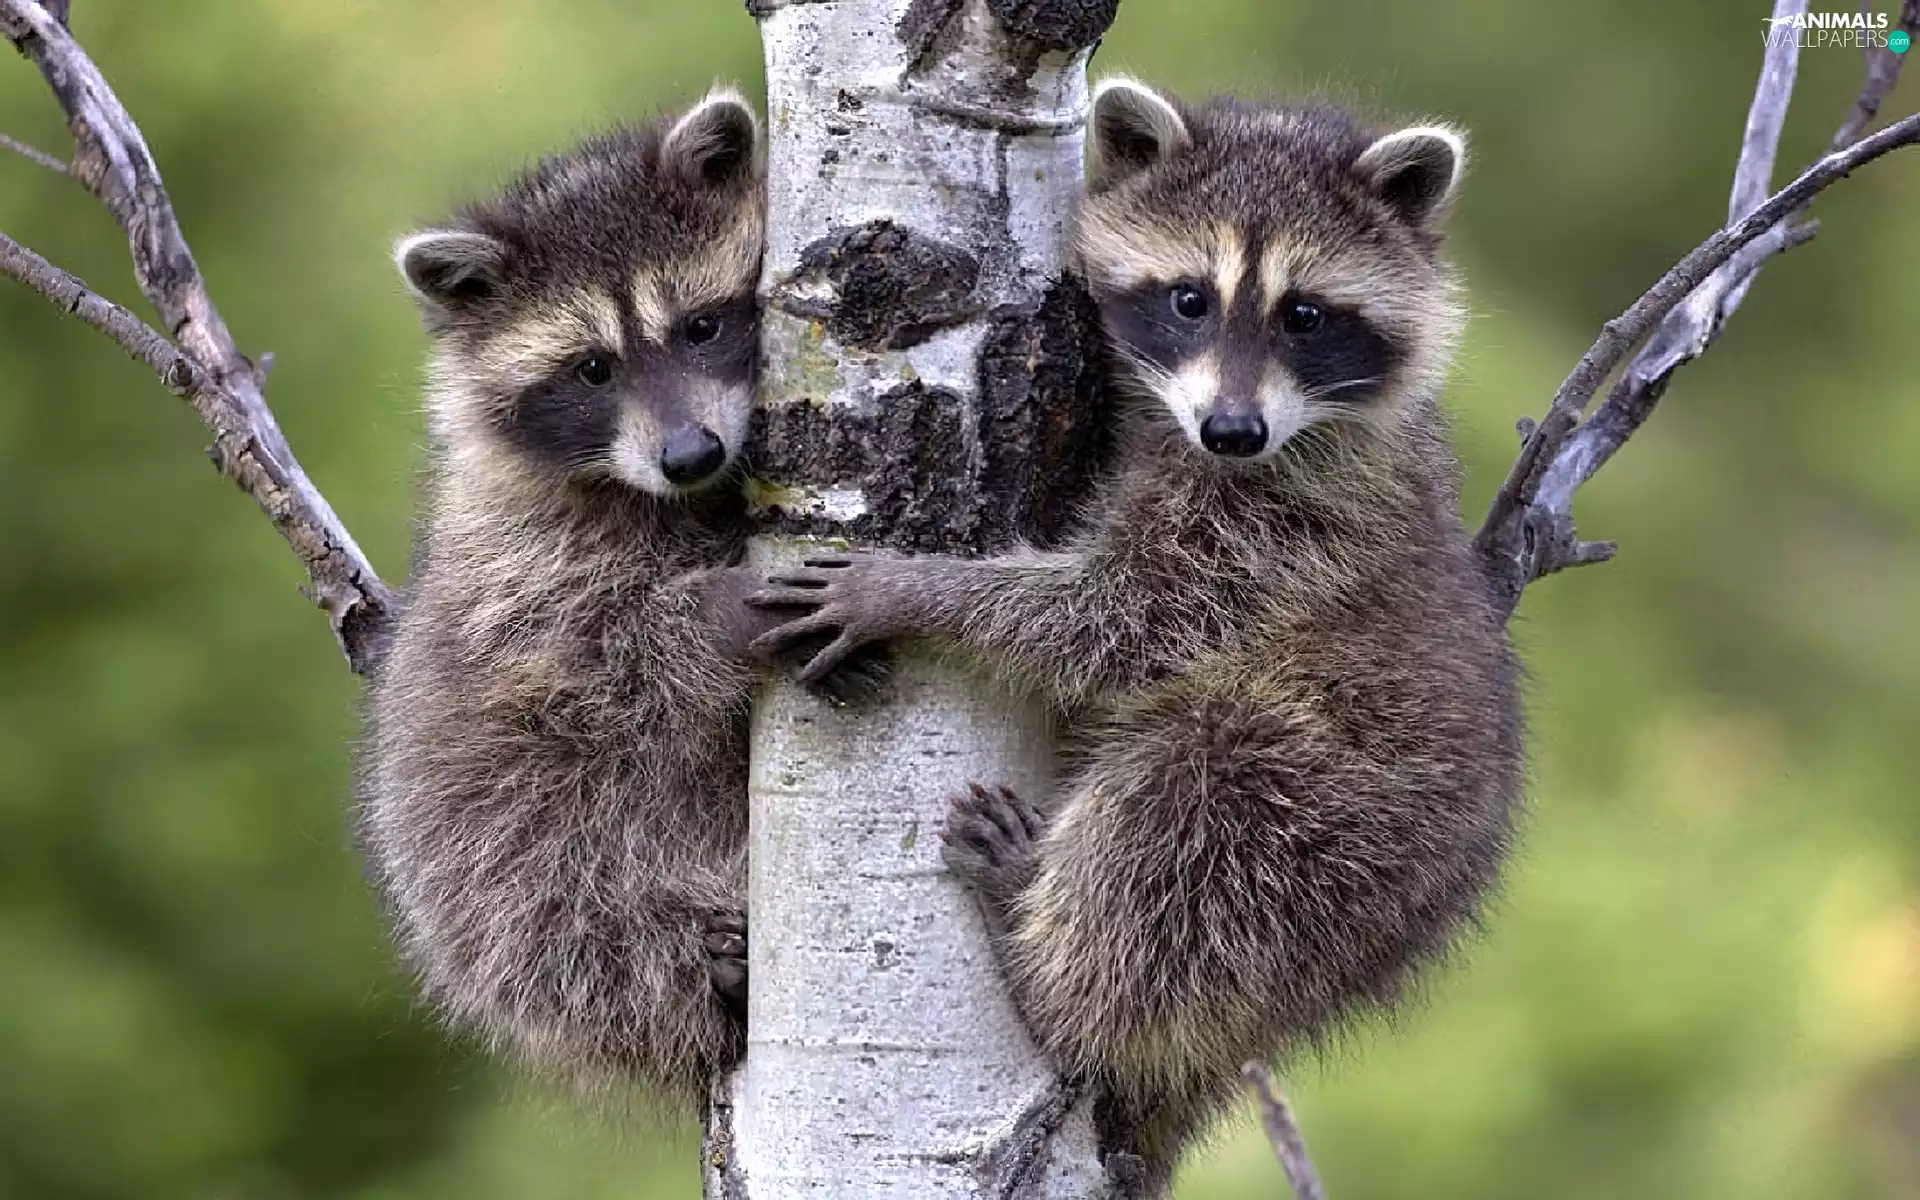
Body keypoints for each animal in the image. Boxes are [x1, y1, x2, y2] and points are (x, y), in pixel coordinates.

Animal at [358, 92, 784, 1104]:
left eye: (701, 327)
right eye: (592, 368)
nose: (690, 455)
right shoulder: (523, 570)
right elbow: (597, 673)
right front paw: (712, 614)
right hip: (485, 872)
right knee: (564, 922)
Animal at [749, 80, 1524, 1188]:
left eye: (1305, 315)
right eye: (1189, 298)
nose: (1234, 431)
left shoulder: (1285, 527)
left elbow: (1121, 619)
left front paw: (920, 589)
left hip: (1334, 827)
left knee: (1182, 813)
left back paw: (1047, 971)